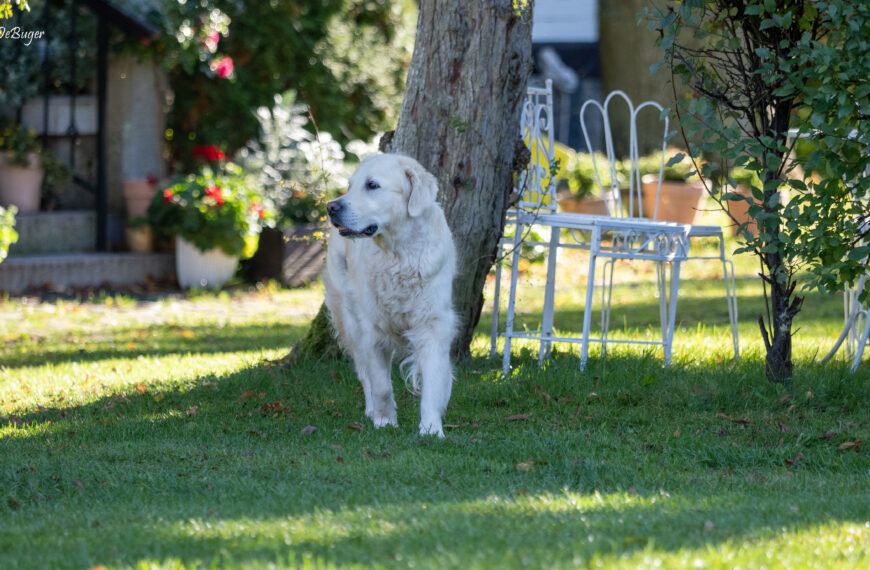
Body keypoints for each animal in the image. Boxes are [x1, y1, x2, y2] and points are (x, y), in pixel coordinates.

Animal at [320, 151, 456, 434]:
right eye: (350, 186)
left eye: (372, 185)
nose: (331, 207)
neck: (400, 255)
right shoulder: (373, 329)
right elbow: (381, 385)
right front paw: (384, 422)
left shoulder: (433, 325)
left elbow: (433, 382)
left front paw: (431, 429)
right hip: (350, 319)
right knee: (364, 373)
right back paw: (372, 410)